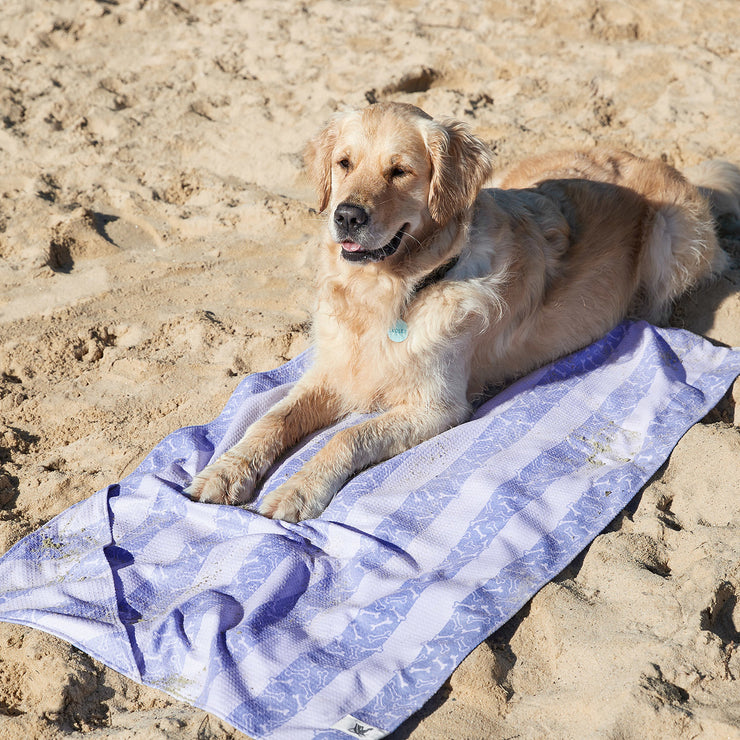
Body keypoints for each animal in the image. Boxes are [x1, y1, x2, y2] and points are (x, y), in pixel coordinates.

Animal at [188, 102, 736, 520]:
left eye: (400, 171)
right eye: (344, 163)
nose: (346, 215)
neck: (395, 291)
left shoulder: (438, 406)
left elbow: (346, 437)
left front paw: (298, 490)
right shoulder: (333, 371)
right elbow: (272, 419)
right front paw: (225, 471)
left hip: (670, 234)